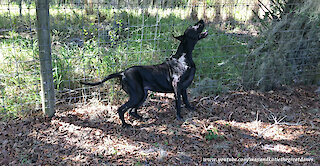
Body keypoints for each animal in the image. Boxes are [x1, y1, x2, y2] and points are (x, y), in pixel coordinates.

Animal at [81, 19, 209, 127]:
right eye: (193, 27)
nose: (202, 20)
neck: (184, 57)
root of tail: (122, 73)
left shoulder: (184, 88)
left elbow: (186, 100)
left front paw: (191, 109)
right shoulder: (177, 87)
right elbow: (178, 103)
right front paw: (179, 117)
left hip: (142, 95)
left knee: (132, 111)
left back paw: (141, 118)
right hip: (137, 95)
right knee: (121, 109)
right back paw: (125, 124)